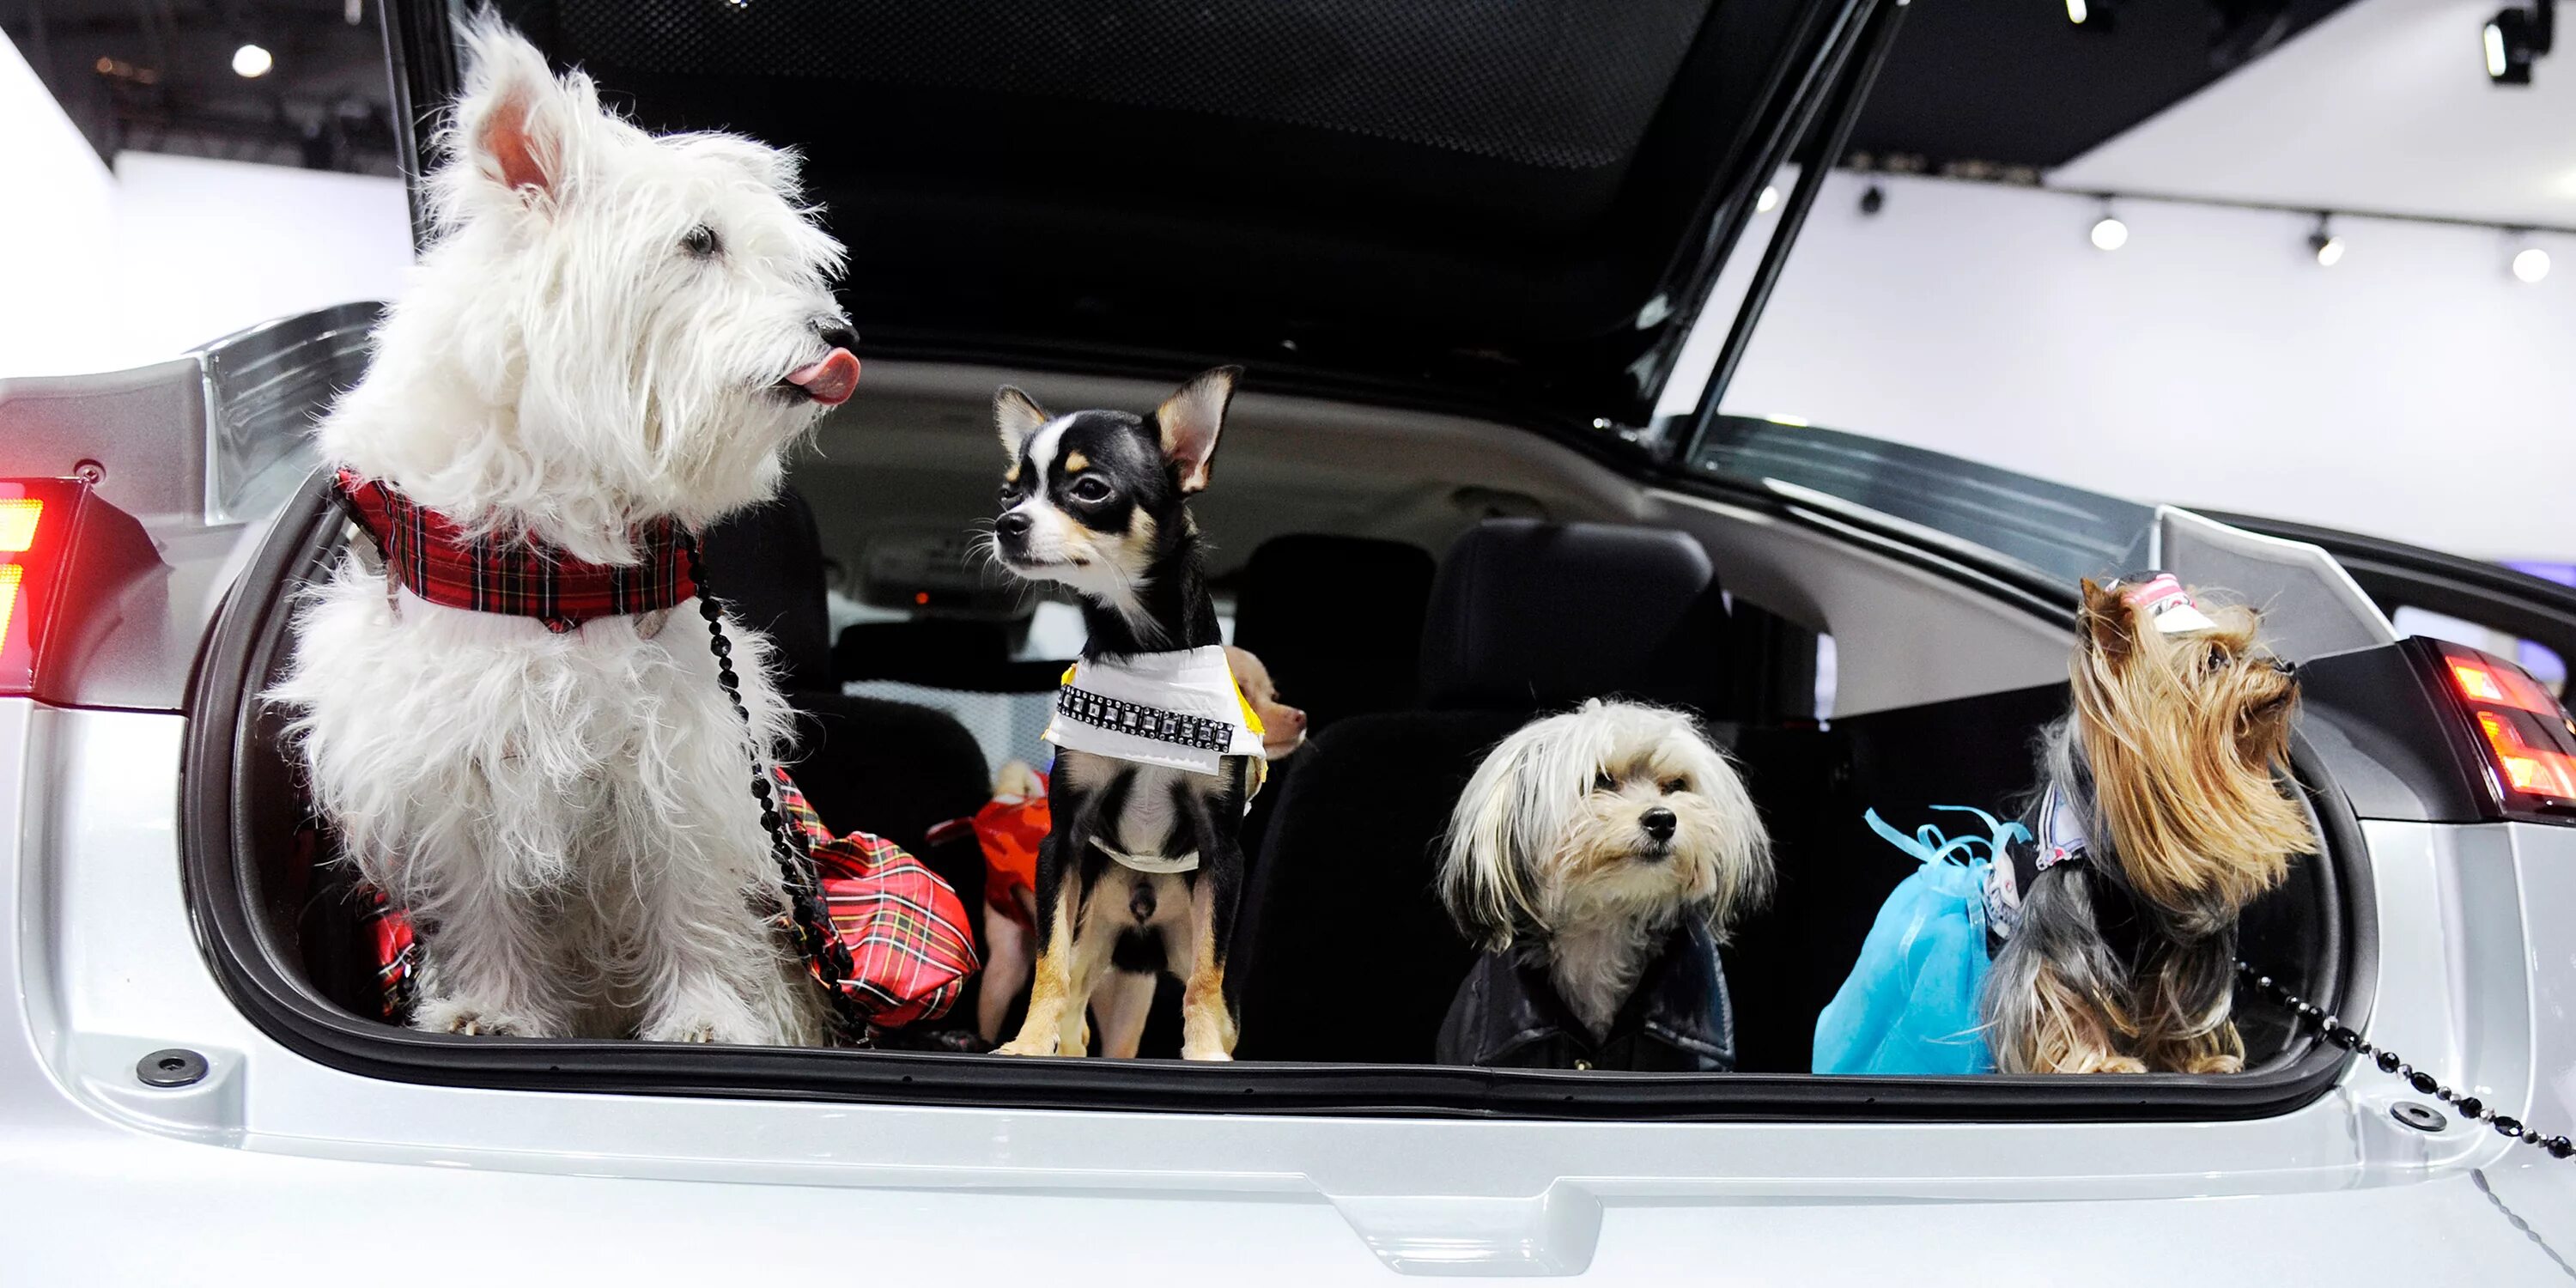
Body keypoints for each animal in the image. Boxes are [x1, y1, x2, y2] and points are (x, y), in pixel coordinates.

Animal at [270, 22, 860, 1046]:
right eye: (699, 241)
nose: (838, 336)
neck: (558, 558)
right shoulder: (446, 758)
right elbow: (481, 897)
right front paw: (493, 1011)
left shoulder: (679, 748)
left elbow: (685, 885)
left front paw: (707, 1015)